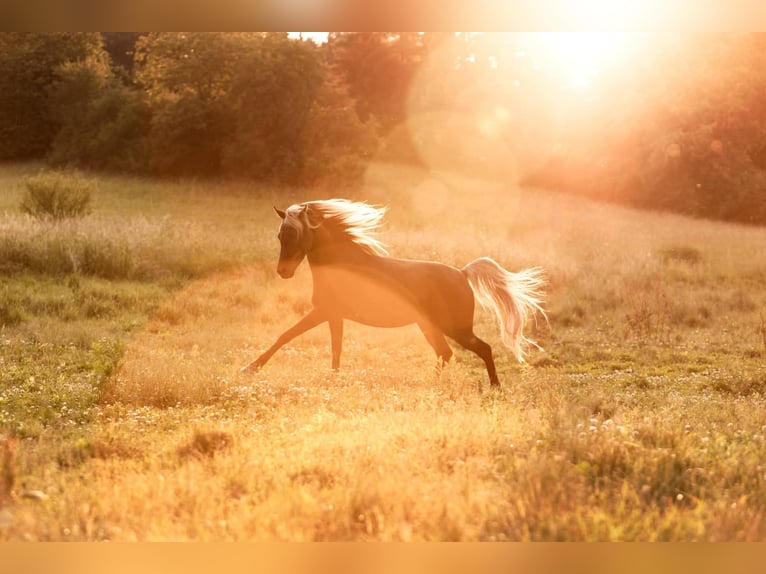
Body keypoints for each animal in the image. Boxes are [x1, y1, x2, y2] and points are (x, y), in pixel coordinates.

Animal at [242, 199, 546, 386]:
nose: (283, 271)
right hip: (429, 326)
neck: (343, 265)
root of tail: (462, 273)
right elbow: (334, 349)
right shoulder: (333, 315)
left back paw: (494, 387)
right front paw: (334, 379)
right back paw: (432, 386)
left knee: (482, 348)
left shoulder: (323, 312)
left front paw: (250, 368)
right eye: (280, 236)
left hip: (455, 327)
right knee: (445, 353)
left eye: (294, 234)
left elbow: (286, 335)